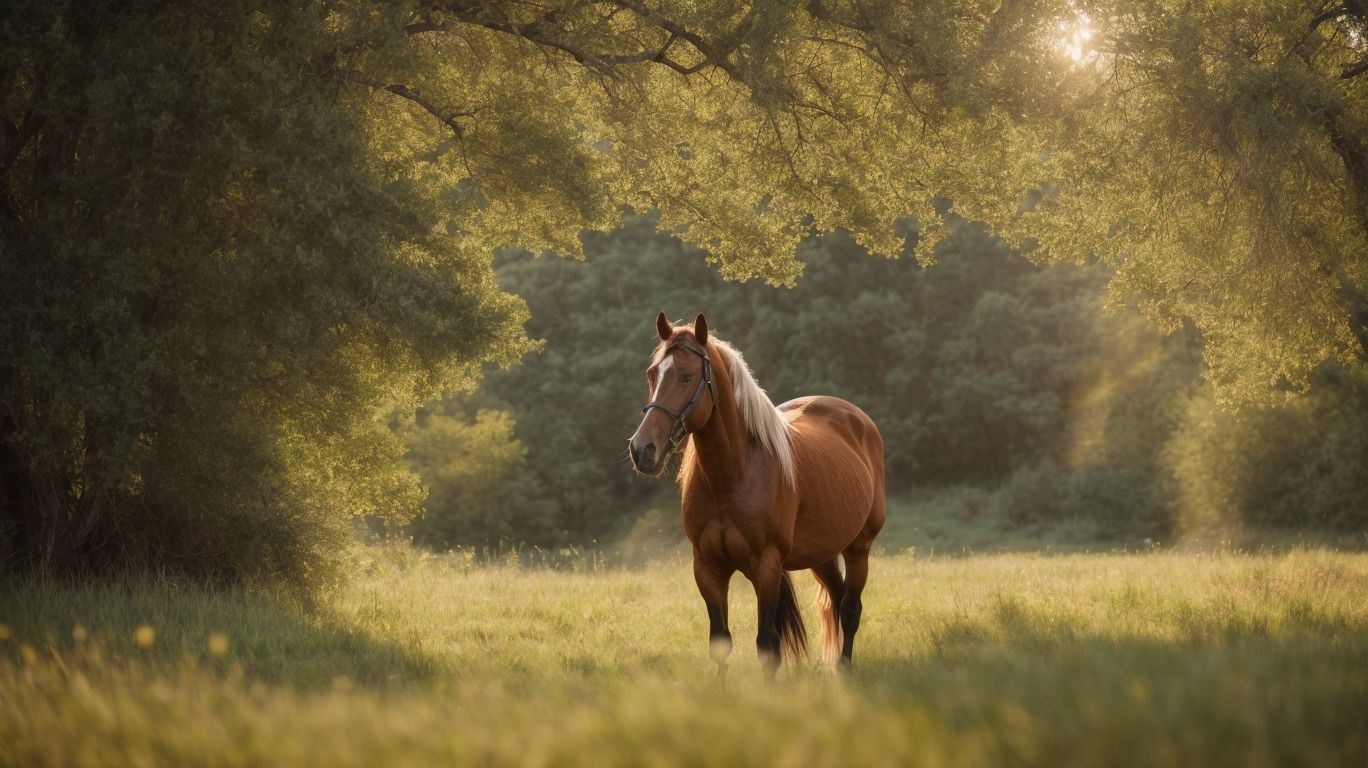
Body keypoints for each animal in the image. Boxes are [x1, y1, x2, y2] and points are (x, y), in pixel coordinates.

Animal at [628, 312, 885, 680]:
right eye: (652, 374)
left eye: (687, 376)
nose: (642, 449)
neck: (731, 478)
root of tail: (858, 419)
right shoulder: (708, 569)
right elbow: (720, 642)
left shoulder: (765, 567)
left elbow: (768, 644)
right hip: (822, 555)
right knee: (837, 601)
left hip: (858, 548)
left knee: (850, 610)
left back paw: (845, 671)